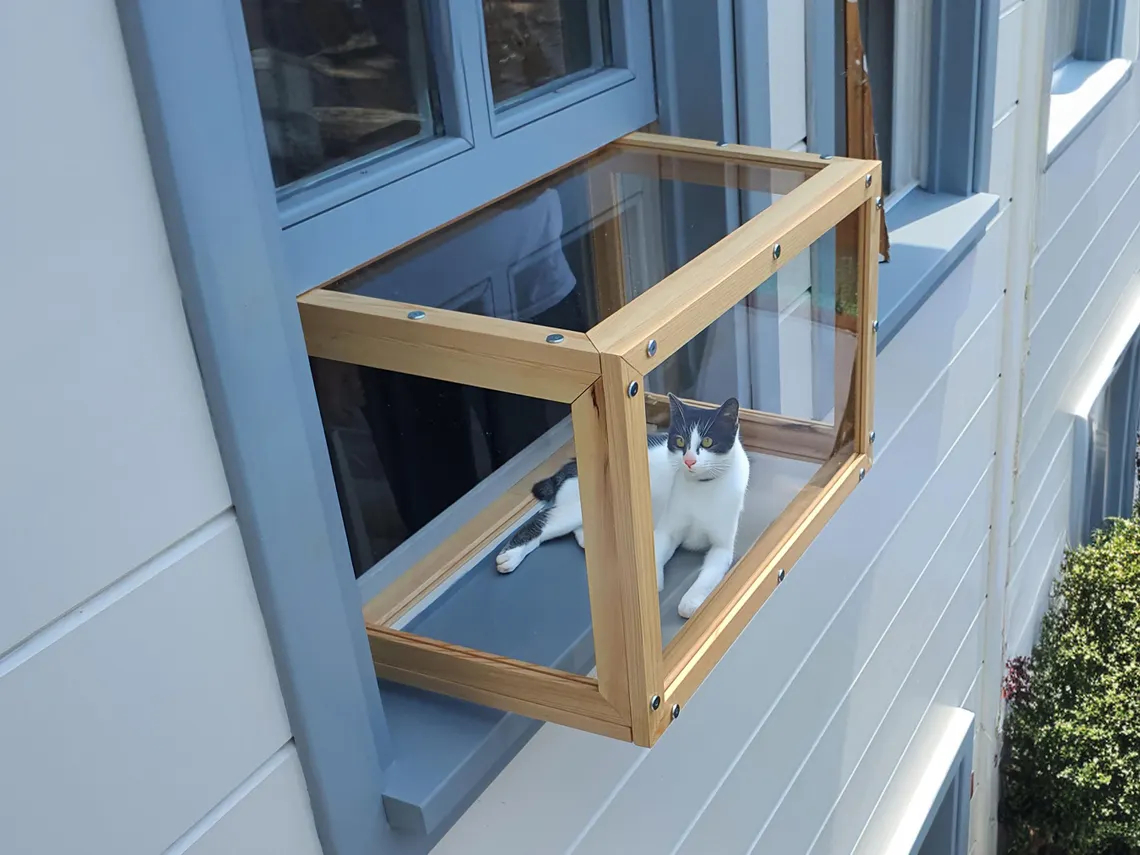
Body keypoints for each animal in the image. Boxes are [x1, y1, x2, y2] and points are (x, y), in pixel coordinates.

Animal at [497, 392, 747, 620]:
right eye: (679, 442)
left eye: (707, 442)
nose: (689, 461)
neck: (702, 489)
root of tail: (570, 466)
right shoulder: (666, 530)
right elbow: (657, 552)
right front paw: (652, 588)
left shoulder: (722, 547)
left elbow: (708, 576)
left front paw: (691, 601)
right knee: (544, 519)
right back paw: (510, 556)